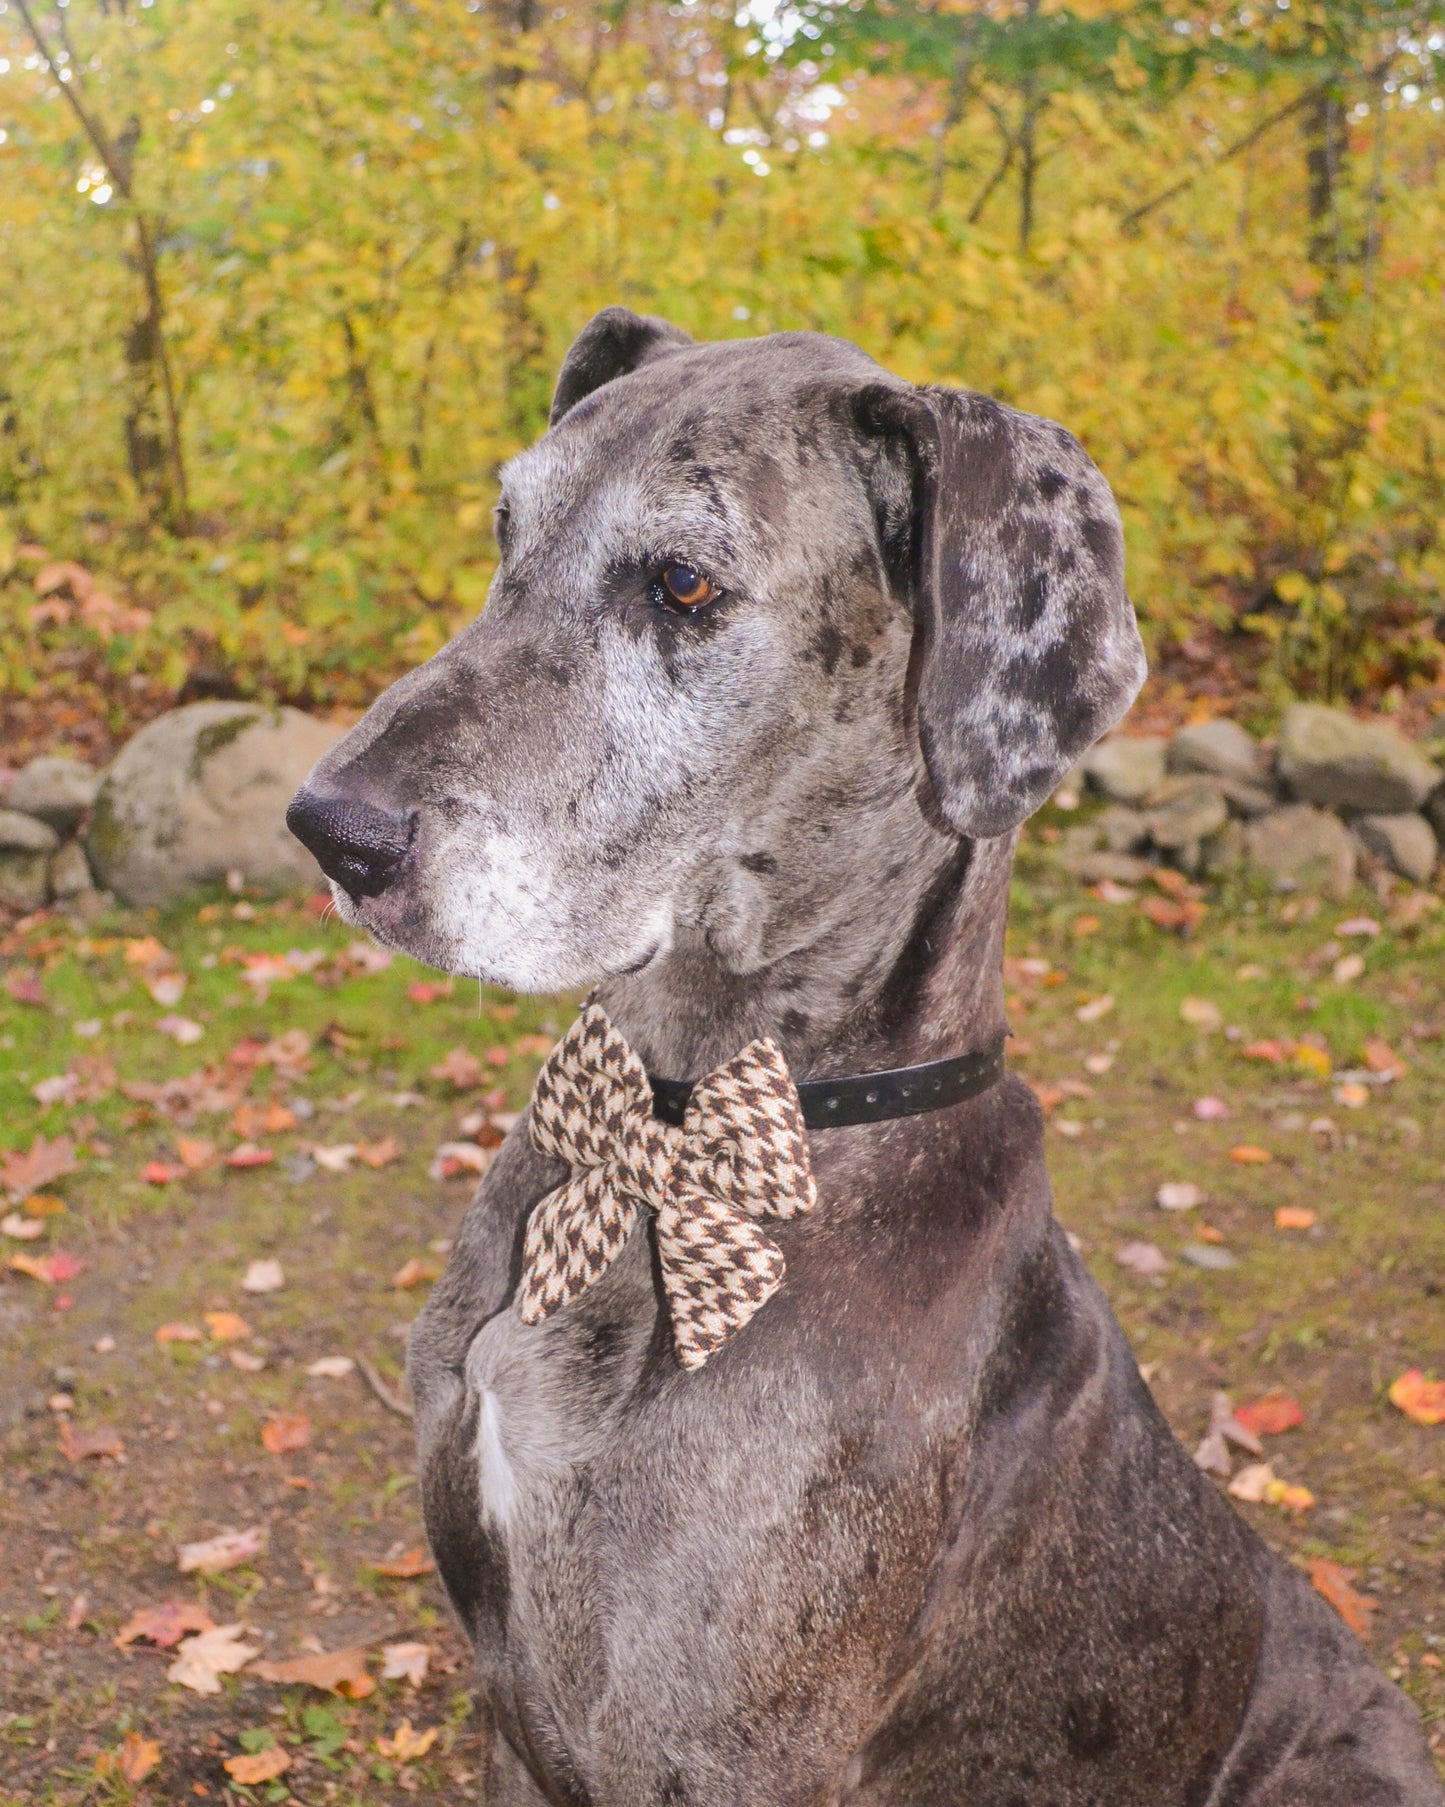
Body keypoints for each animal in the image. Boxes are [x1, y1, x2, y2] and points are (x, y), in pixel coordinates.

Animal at [285, 314, 1445, 1807]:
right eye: (505, 529)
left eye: (681, 582)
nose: (329, 826)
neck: (676, 1117)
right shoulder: (507, 1716)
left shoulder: (728, 1753)